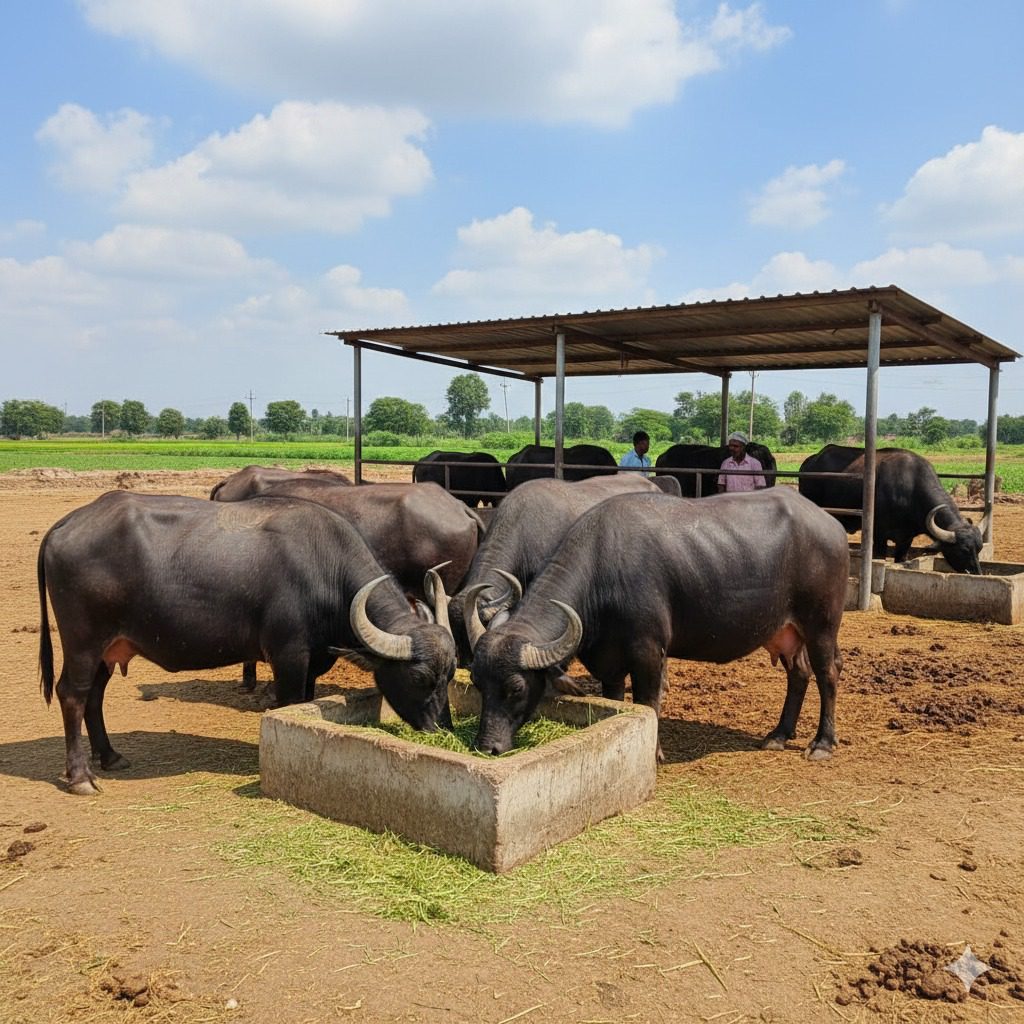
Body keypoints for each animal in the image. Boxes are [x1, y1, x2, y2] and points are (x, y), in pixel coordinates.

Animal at [38, 492, 457, 795]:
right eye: (419, 679)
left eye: (450, 676)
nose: (440, 729)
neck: (325, 569)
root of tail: (66, 524)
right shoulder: (289, 656)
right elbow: (289, 702)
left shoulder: (312, 661)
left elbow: (305, 702)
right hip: (83, 642)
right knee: (72, 694)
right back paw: (81, 777)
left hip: (108, 650)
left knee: (94, 696)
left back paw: (109, 756)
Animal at [466, 488, 848, 762]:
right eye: (478, 684)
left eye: (516, 688)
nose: (487, 748)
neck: (603, 572)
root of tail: (832, 526)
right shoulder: (610, 662)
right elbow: (617, 700)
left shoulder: (649, 651)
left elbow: (648, 702)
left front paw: (654, 753)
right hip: (786, 631)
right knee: (798, 673)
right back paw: (779, 734)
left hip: (821, 625)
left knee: (827, 673)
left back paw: (822, 743)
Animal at [798, 444, 986, 573]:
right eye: (962, 550)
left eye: (979, 549)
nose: (975, 572)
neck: (910, 491)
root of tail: (810, 462)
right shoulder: (879, 534)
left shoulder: (906, 539)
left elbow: (900, 559)